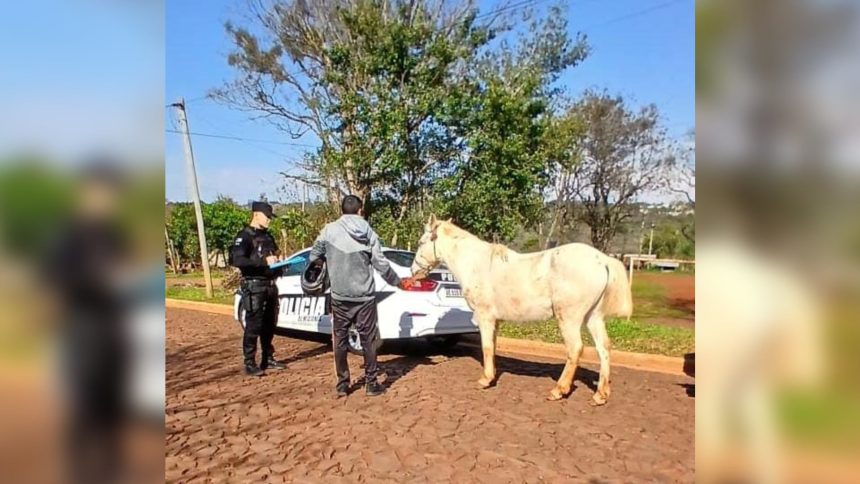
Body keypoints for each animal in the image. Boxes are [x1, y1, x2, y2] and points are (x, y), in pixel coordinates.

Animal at [410, 215, 633, 405]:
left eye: (421, 242)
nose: (414, 271)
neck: (477, 264)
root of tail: (602, 260)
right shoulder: (496, 320)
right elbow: (493, 346)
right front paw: (492, 376)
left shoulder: (485, 316)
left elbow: (486, 347)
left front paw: (485, 380)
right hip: (593, 317)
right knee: (603, 348)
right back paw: (600, 395)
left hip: (569, 318)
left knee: (575, 349)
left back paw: (559, 390)